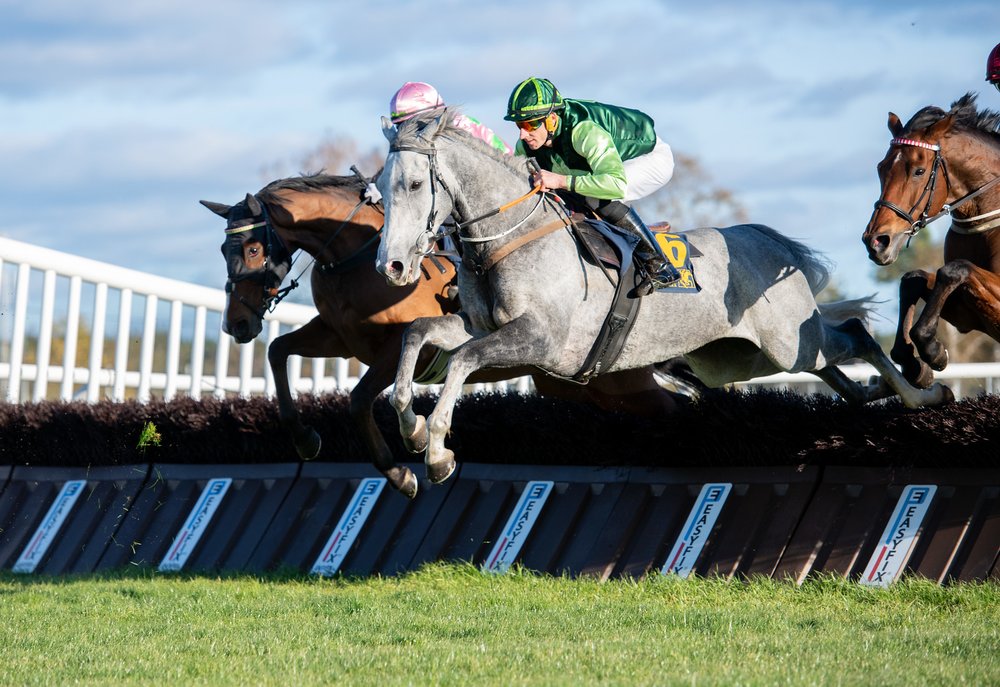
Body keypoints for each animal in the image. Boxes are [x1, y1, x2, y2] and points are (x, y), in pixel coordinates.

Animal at [200, 175, 700, 498]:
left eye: (253, 248)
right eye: (224, 249)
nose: (236, 324)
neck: (353, 256)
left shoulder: (396, 352)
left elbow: (359, 400)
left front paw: (406, 465)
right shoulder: (339, 339)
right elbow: (278, 351)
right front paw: (304, 438)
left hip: (623, 382)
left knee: (673, 407)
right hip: (581, 385)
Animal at [376, 109, 952, 490]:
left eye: (413, 184)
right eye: (381, 185)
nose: (393, 266)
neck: (512, 237)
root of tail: (767, 240)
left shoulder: (540, 340)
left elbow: (462, 361)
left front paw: (437, 451)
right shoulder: (482, 326)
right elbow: (419, 336)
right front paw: (413, 429)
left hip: (786, 340)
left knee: (854, 335)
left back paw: (924, 394)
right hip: (742, 358)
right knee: (836, 370)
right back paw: (880, 390)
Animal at [860, 94, 1000, 390]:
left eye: (919, 171)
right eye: (881, 168)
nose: (876, 242)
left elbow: (955, 269)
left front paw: (930, 348)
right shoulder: (969, 317)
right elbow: (912, 278)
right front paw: (914, 361)